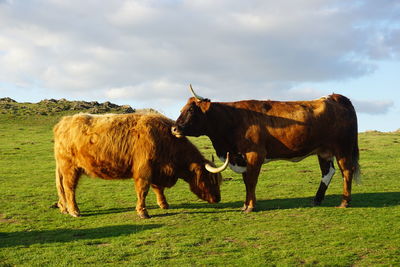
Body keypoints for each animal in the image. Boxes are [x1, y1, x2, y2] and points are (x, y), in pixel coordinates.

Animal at [53, 112, 228, 219]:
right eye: (211, 179)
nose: (218, 199)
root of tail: (63, 122)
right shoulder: (144, 171)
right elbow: (143, 191)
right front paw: (143, 212)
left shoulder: (158, 170)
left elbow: (158, 189)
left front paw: (164, 204)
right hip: (70, 168)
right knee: (69, 188)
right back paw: (74, 211)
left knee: (62, 188)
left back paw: (64, 208)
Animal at [171, 86, 360, 214]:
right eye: (181, 109)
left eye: (191, 110)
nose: (174, 129)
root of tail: (334, 97)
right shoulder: (241, 158)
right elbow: (246, 181)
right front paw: (246, 205)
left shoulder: (255, 154)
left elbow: (251, 181)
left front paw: (250, 206)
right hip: (324, 151)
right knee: (328, 172)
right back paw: (317, 199)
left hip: (343, 148)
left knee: (346, 171)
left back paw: (345, 202)